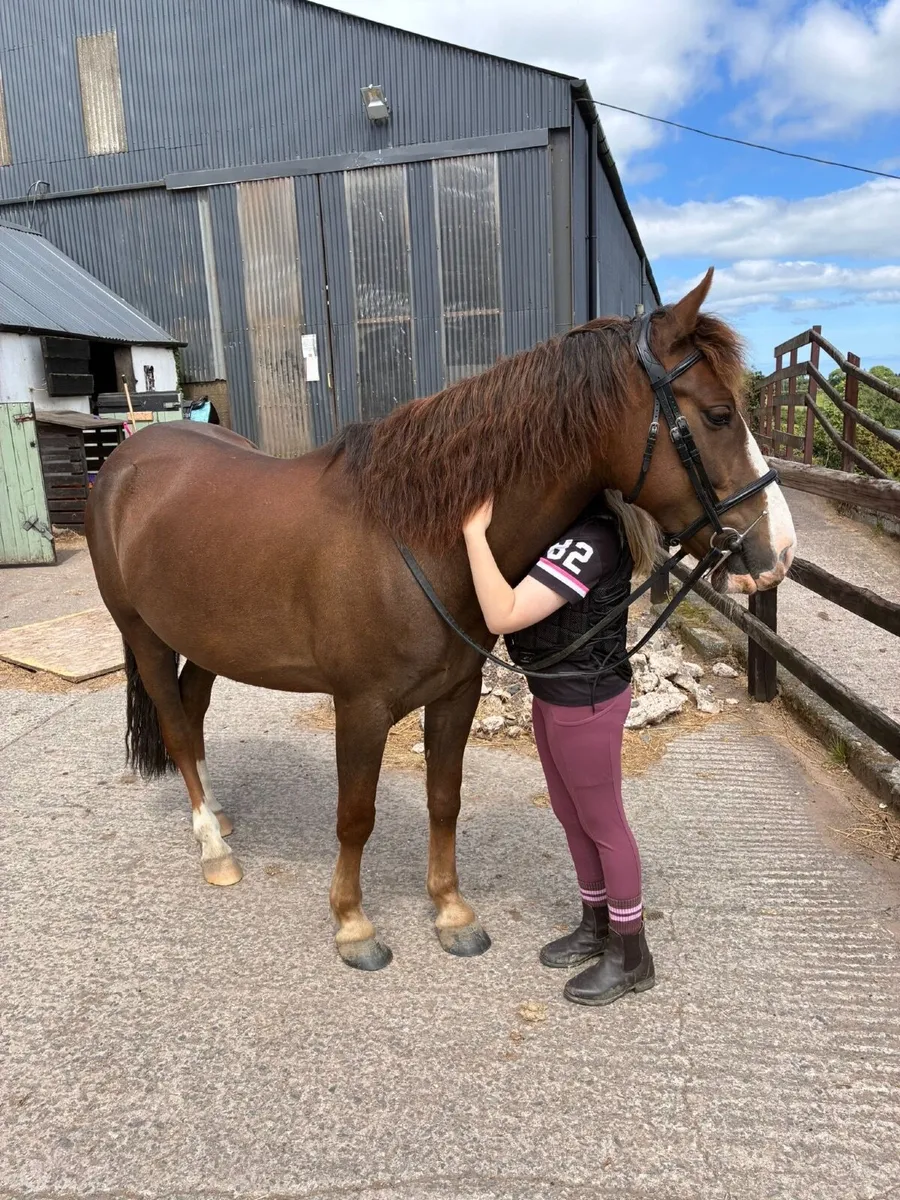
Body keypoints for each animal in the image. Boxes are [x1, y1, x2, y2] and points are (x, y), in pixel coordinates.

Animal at [85, 268, 796, 972]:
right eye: (719, 415)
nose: (778, 552)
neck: (419, 537)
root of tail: (126, 459)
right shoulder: (361, 706)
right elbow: (356, 814)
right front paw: (353, 924)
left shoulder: (456, 693)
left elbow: (444, 798)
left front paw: (452, 911)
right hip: (144, 636)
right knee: (177, 729)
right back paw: (214, 848)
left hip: (205, 639)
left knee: (194, 711)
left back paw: (217, 815)